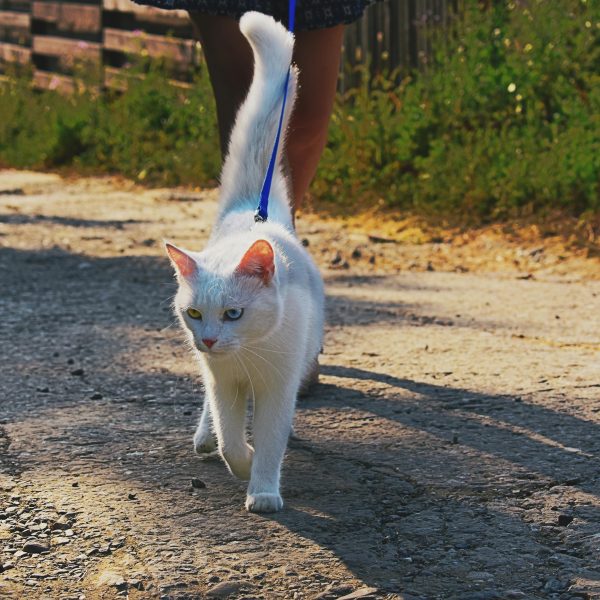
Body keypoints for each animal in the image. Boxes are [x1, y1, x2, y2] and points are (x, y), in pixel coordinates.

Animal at [164, 11, 324, 512]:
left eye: (234, 313)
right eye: (194, 313)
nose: (210, 339)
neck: (247, 355)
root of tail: (252, 211)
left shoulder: (277, 388)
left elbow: (272, 440)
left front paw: (264, 489)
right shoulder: (225, 385)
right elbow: (231, 437)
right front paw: (243, 461)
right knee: (210, 415)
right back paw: (203, 437)